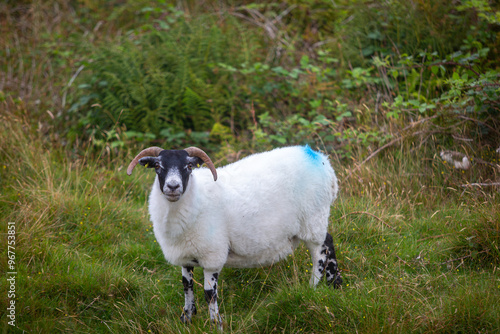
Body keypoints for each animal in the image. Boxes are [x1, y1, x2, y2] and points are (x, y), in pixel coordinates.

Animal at [127, 145, 342, 328]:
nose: (173, 186)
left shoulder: (212, 255)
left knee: (320, 254)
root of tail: (321, 160)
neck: (195, 198)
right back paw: (335, 284)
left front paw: (216, 324)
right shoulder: (185, 255)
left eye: (188, 166)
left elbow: (209, 294)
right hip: (317, 221)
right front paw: (187, 319)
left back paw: (313, 287)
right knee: (329, 242)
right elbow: (187, 286)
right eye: (157, 166)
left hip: (313, 220)